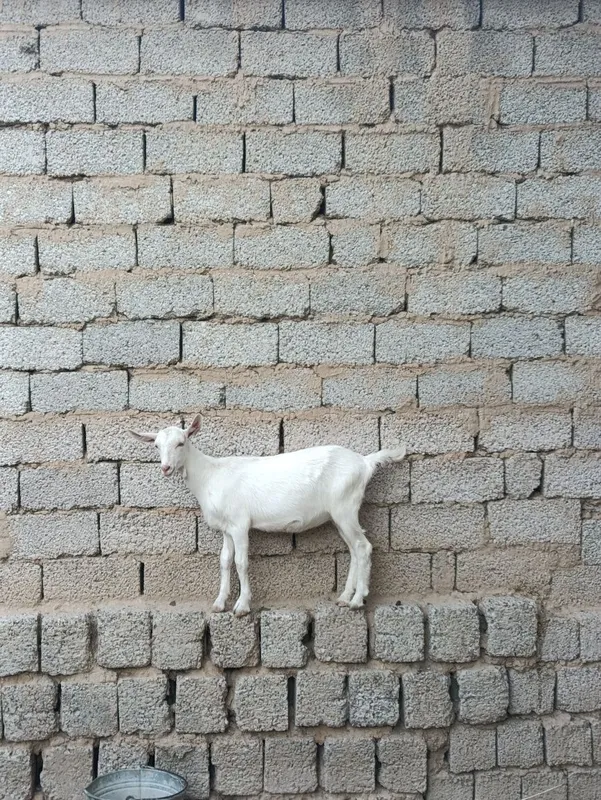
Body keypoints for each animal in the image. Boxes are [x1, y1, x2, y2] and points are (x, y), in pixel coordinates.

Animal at [130, 415, 406, 616]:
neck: (210, 475)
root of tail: (364, 462)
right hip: (340, 513)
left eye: (181, 443)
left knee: (363, 547)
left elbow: (241, 562)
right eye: (156, 445)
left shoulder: (240, 524)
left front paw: (241, 606)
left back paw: (357, 600)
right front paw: (219, 603)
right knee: (353, 549)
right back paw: (344, 597)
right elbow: (224, 561)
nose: (165, 468)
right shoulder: (226, 528)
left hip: (345, 507)